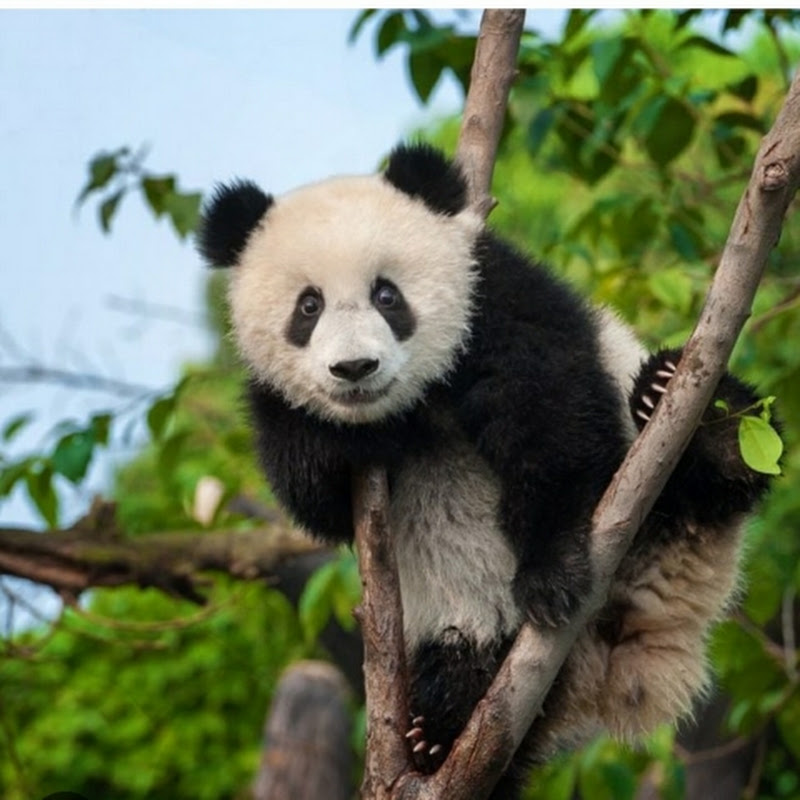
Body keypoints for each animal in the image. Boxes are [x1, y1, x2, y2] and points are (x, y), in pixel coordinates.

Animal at [198, 143, 772, 799]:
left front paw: (550, 573)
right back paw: (442, 729)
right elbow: (312, 493)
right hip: (469, 629)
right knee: (469, 663)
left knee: (715, 461)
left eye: (387, 296)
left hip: (667, 497)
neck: (413, 401)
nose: (355, 368)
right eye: (308, 306)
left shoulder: (493, 298)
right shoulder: (277, 404)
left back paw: (689, 412)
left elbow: (551, 418)